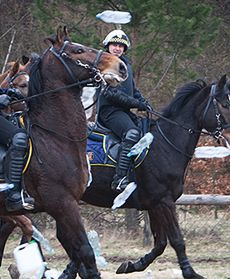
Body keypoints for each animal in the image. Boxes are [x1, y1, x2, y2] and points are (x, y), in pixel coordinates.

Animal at [0, 26, 126, 279]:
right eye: (77, 50)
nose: (120, 66)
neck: (55, 137)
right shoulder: (63, 204)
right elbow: (86, 253)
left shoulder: (65, 208)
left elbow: (78, 256)